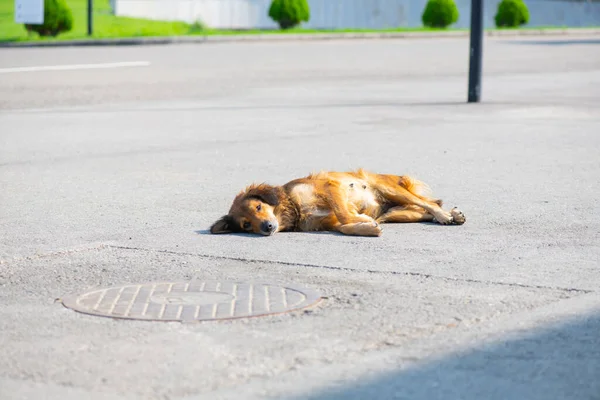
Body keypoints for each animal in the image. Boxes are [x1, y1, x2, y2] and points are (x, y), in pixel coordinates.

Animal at [210, 167, 464, 236]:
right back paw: (452, 214)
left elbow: (344, 214)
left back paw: (446, 216)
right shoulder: (327, 223)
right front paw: (367, 227)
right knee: (426, 208)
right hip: (395, 213)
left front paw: (361, 219)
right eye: (246, 225)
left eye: (259, 206)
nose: (267, 227)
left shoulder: (331, 188)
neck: (295, 207)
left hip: (389, 188)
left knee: (430, 204)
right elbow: (344, 227)